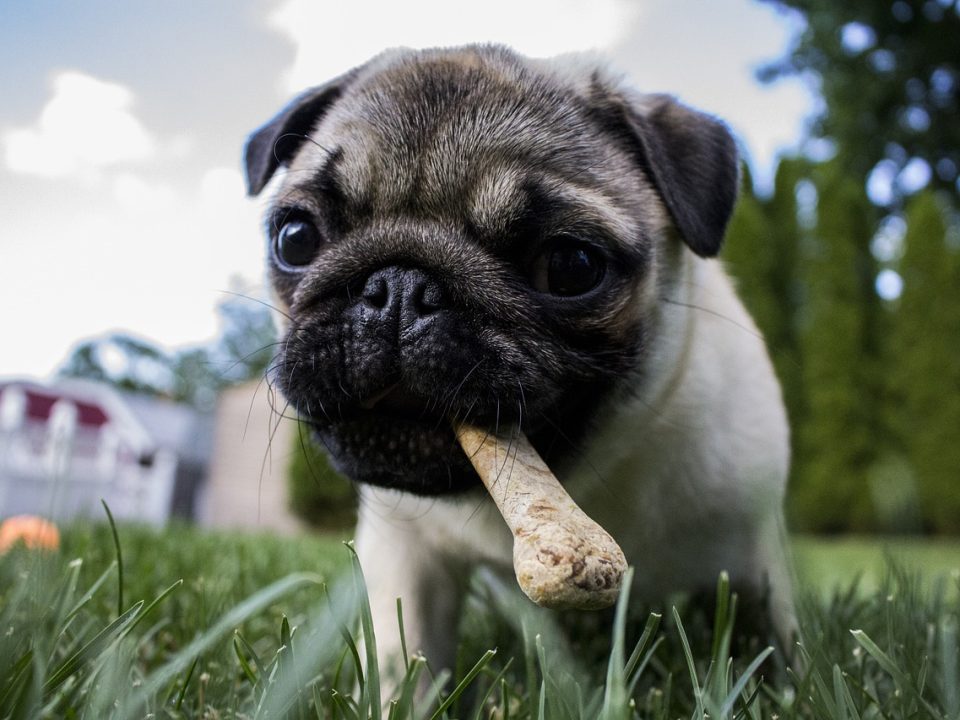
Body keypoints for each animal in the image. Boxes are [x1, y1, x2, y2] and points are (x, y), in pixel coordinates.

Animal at [246, 46, 796, 676]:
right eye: (295, 238)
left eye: (570, 266)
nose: (399, 287)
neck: (580, 478)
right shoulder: (405, 554)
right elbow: (398, 657)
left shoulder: (756, 553)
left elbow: (780, 646)